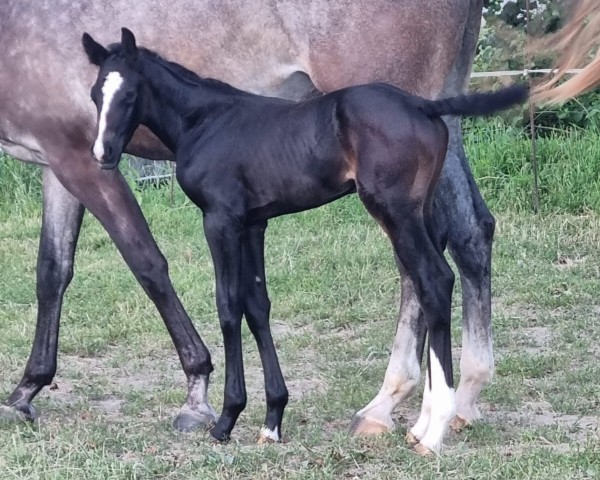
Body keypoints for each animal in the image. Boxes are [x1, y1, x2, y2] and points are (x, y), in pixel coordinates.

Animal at [0, 0, 492, 450]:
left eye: (129, 96)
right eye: (95, 94)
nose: (103, 153)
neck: (207, 119)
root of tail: (423, 107)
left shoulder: (211, 217)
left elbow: (202, 292)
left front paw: (215, 411)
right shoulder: (252, 224)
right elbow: (255, 305)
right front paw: (271, 419)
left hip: (393, 205)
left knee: (429, 277)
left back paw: (417, 421)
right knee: (468, 236)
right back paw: (448, 409)